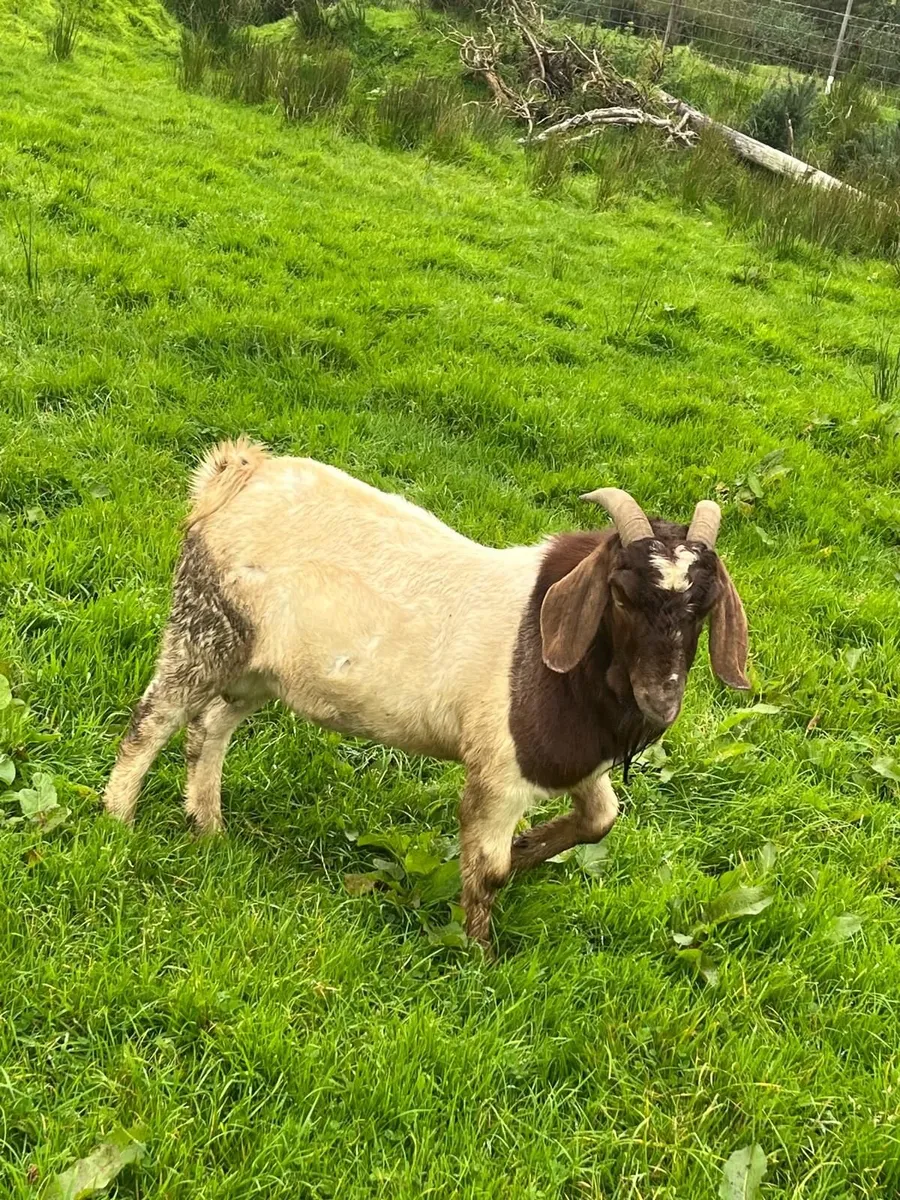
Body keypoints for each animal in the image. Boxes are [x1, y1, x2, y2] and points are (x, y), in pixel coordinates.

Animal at [103, 439, 749, 949]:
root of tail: (236, 473)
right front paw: (478, 959)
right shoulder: (496, 771)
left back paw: (209, 827)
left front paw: (529, 849)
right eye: (619, 594)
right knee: (153, 718)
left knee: (209, 727)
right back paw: (117, 820)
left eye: (705, 604)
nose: (661, 699)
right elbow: (488, 870)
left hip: (258, 669)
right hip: (205, 626)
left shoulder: (567, 757)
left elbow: (600, 819)